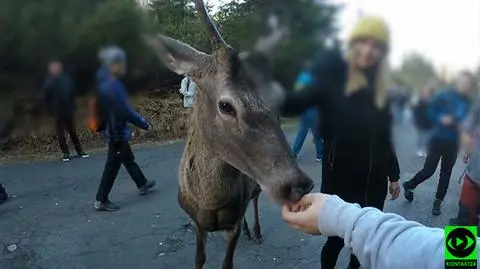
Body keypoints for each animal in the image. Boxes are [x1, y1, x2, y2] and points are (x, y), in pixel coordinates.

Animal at [144, 1, 314, 266]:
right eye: (225, 106)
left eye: (279, 99)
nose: (297, 184)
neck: (210, 202)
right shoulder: (196, 224)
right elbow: (199, 259)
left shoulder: (233, 222)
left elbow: (228, 262)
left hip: (254, 186)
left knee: (254, 200)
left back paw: (255, 231)